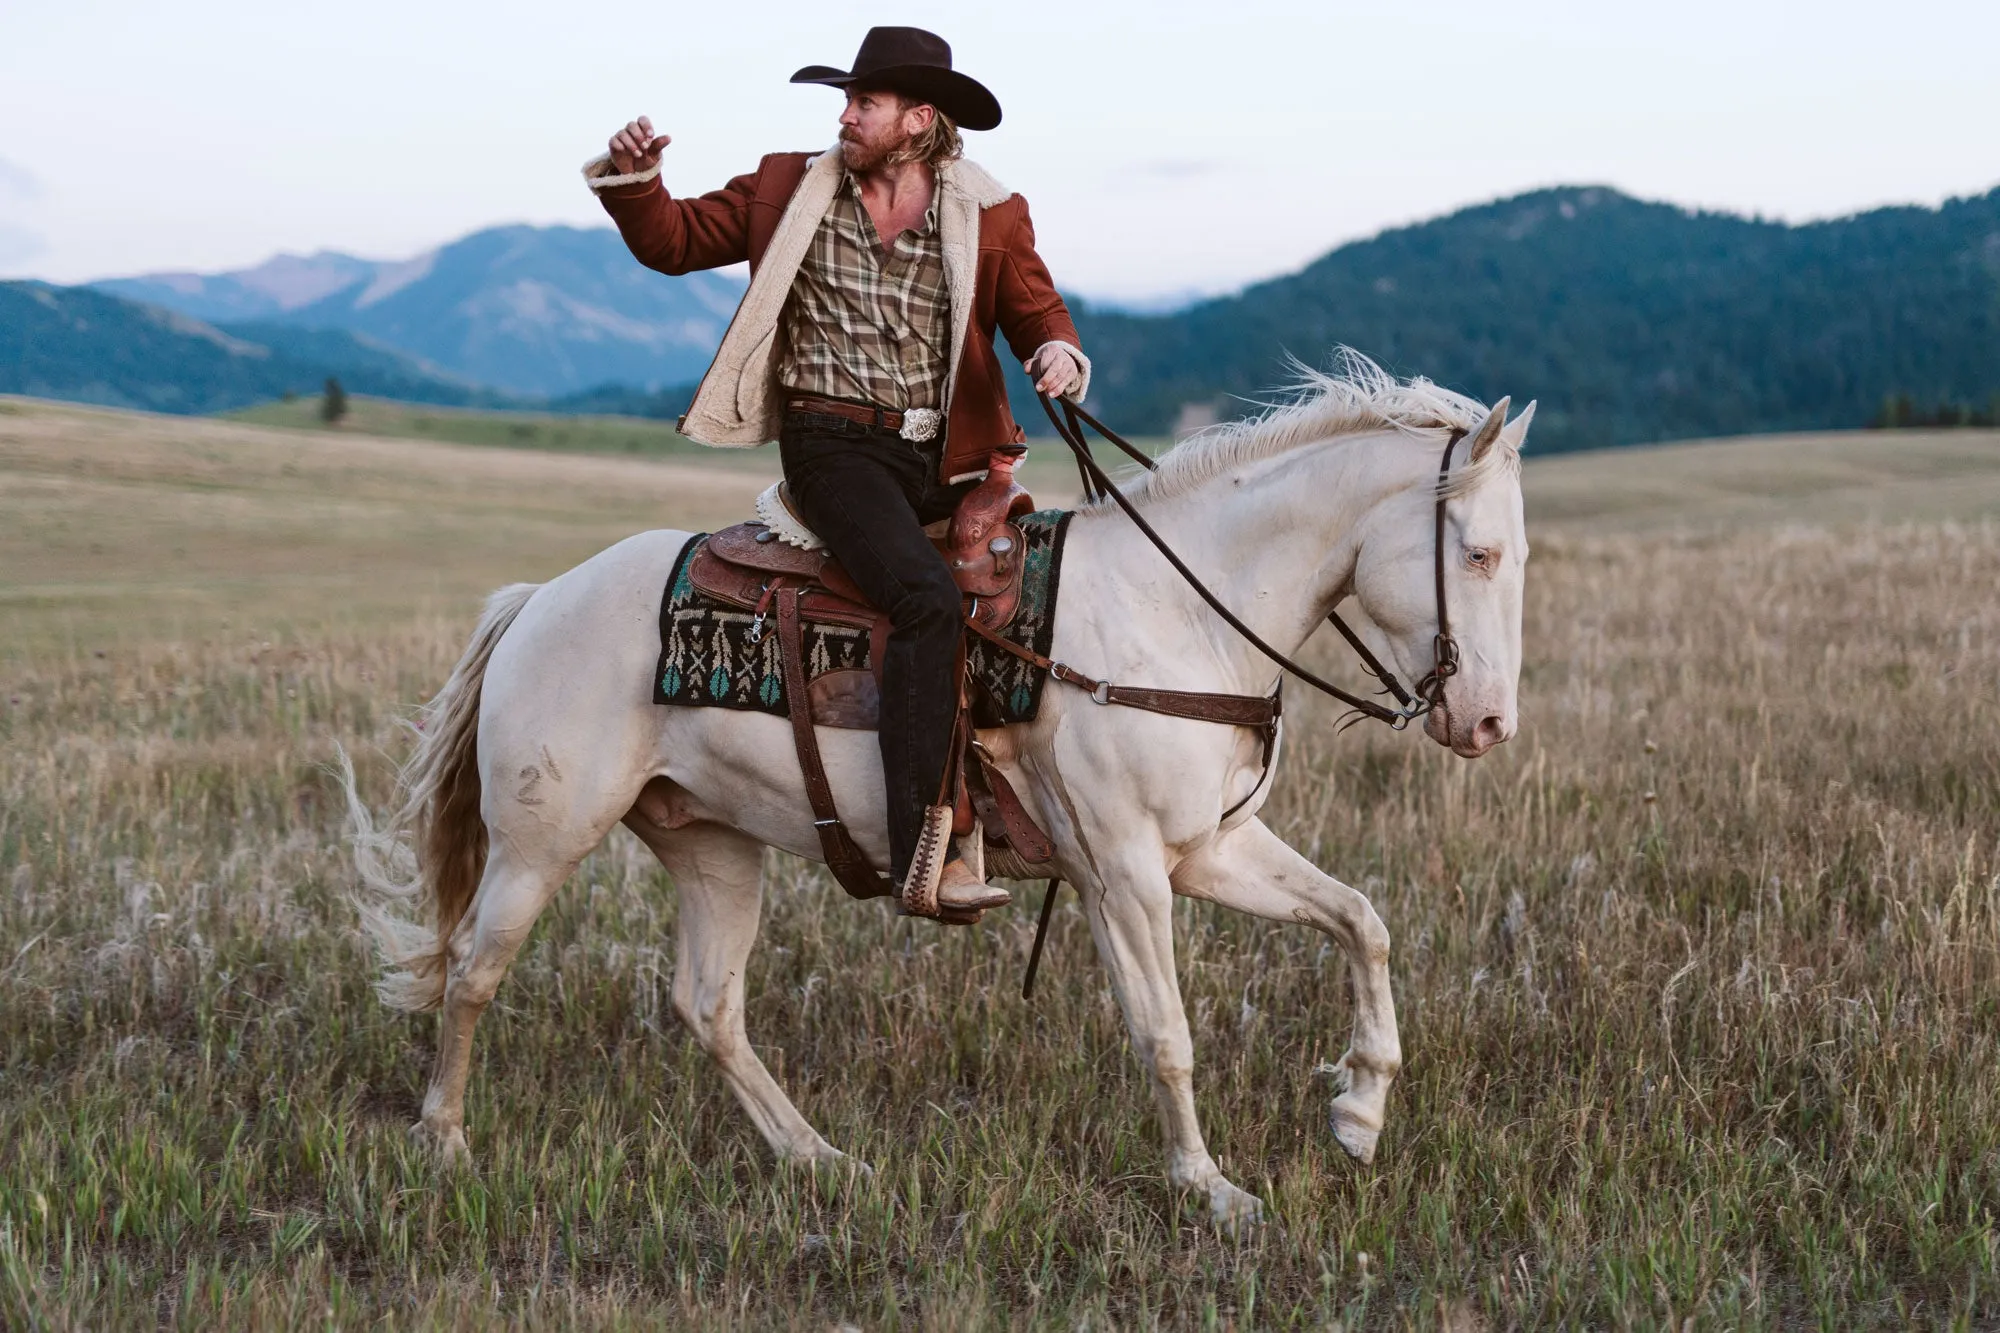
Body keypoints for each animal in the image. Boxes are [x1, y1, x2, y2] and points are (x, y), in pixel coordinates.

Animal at [344, 356, 1528, 1224]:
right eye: (1475, 553)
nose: (1487, 723)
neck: (1173, 609)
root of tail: (542, 597)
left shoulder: (1205, 850)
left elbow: (1361, 920)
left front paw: (1360, 1111)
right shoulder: (1124, 872)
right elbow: (1165, 1031)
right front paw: (1210, 1189)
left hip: (711, 843)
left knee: (708, 1004)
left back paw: (819, 1158)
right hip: (540, 842)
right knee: (474, 971)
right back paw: (442, 1142)